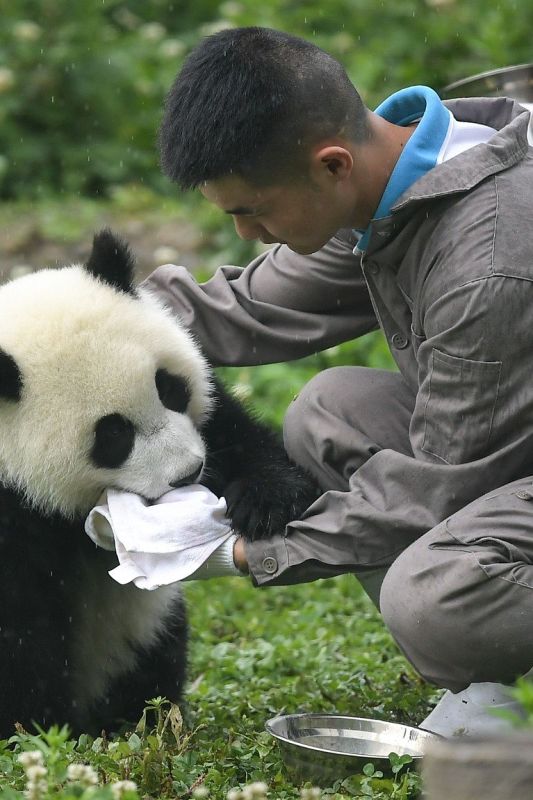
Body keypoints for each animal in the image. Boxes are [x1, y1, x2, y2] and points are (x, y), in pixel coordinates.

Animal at [0, 228, 316, 736]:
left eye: (170, 388)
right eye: (113, 436)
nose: (189, 472)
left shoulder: (209, 419)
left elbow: (233, 434)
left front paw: (268, 501)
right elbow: (20, 629)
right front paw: (38, 728)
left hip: (141, 626)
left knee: (155, 651)